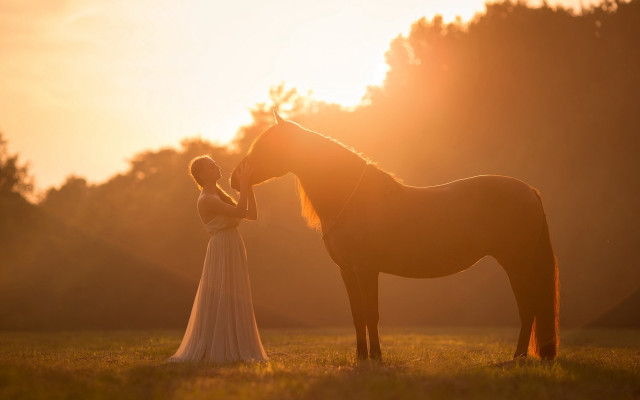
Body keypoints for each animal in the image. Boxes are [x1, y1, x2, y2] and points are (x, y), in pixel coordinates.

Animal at [231, 112, 559, 361]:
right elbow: (357, 315)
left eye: (265, 147)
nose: (235, 179)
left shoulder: (366, 270)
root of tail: (529, 190)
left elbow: (371, 314)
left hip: (516, 263)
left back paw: (517, 358)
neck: (351, 199)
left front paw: (376, 357)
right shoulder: (348, 272)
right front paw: (361, 357)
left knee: (527, 308)